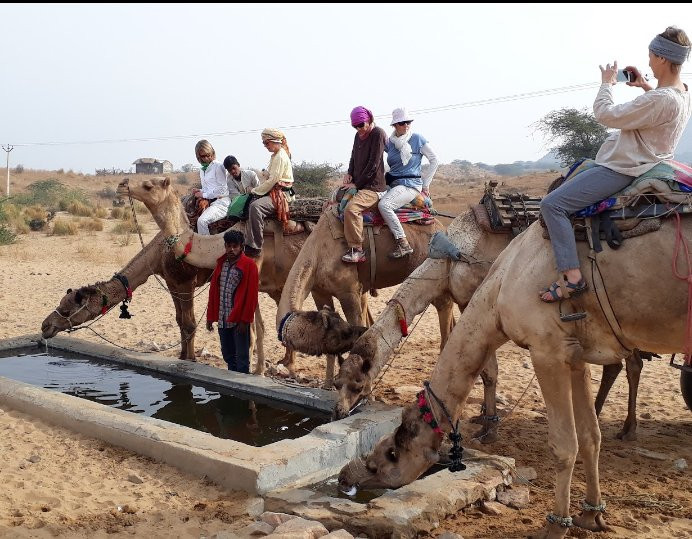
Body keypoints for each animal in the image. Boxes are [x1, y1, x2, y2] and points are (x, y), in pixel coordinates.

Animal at [338, 216, 691, 538]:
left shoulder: (547, 348)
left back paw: (629, 428)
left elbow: (562, 442)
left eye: (391, 454)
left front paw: (555, 526)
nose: (345, 476)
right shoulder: (575, 353)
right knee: (621, 369)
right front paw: (591, 516)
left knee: (632, 365)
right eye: (339, 381)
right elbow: (590, 437)